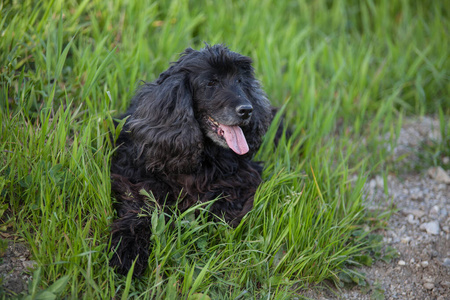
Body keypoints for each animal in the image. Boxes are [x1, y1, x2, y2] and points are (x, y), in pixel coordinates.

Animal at [110, 43, 274, 276]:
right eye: (211, 83)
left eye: (239, 81)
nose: (247, 110)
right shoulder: (135, 177)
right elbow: (141, 209)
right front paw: (127, 251)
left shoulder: (243, 177)